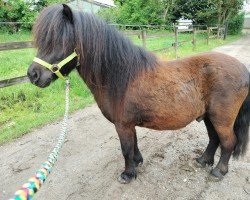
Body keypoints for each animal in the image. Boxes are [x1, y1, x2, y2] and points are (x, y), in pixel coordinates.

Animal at [27, 3, 250, 184]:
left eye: (59, 41)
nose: (33, 75)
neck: (120, 75)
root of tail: (243, 70)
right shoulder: (128, 124)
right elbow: (133, 145)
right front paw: (138, 162)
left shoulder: (122, 125)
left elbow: (126, 149)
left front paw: (128, 174)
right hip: (209, 116)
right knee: (214, 139)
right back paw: (203, 160)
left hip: (221, 118)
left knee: (228, 142)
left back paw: (219, 171)